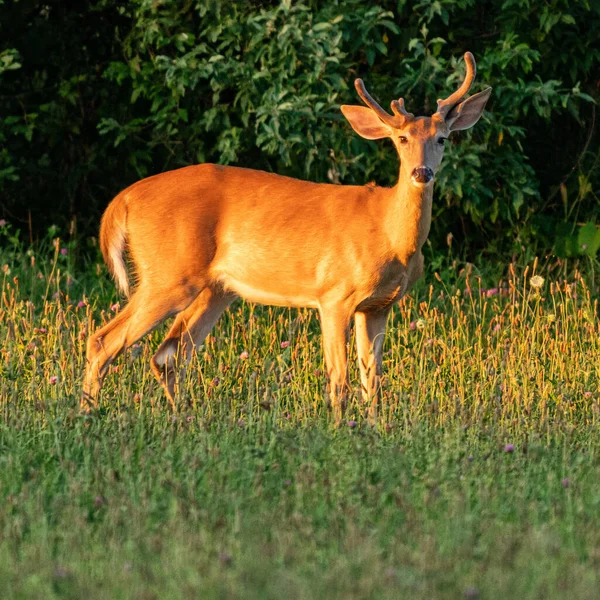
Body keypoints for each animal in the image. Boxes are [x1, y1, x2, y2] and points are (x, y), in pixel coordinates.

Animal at [82, 52, 490, 422]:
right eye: (402, 138)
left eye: (443, 139)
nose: (422, 173)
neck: (390, 236)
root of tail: (124, 200)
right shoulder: (334, 295)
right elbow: (339, 379)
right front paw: (340, 431)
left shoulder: (378, 305)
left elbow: (372, 380)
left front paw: (374, 429)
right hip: (168, 274)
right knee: (104, 341)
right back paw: (88, 414)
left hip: (216, 288)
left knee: (168, 354)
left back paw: (181, 417)